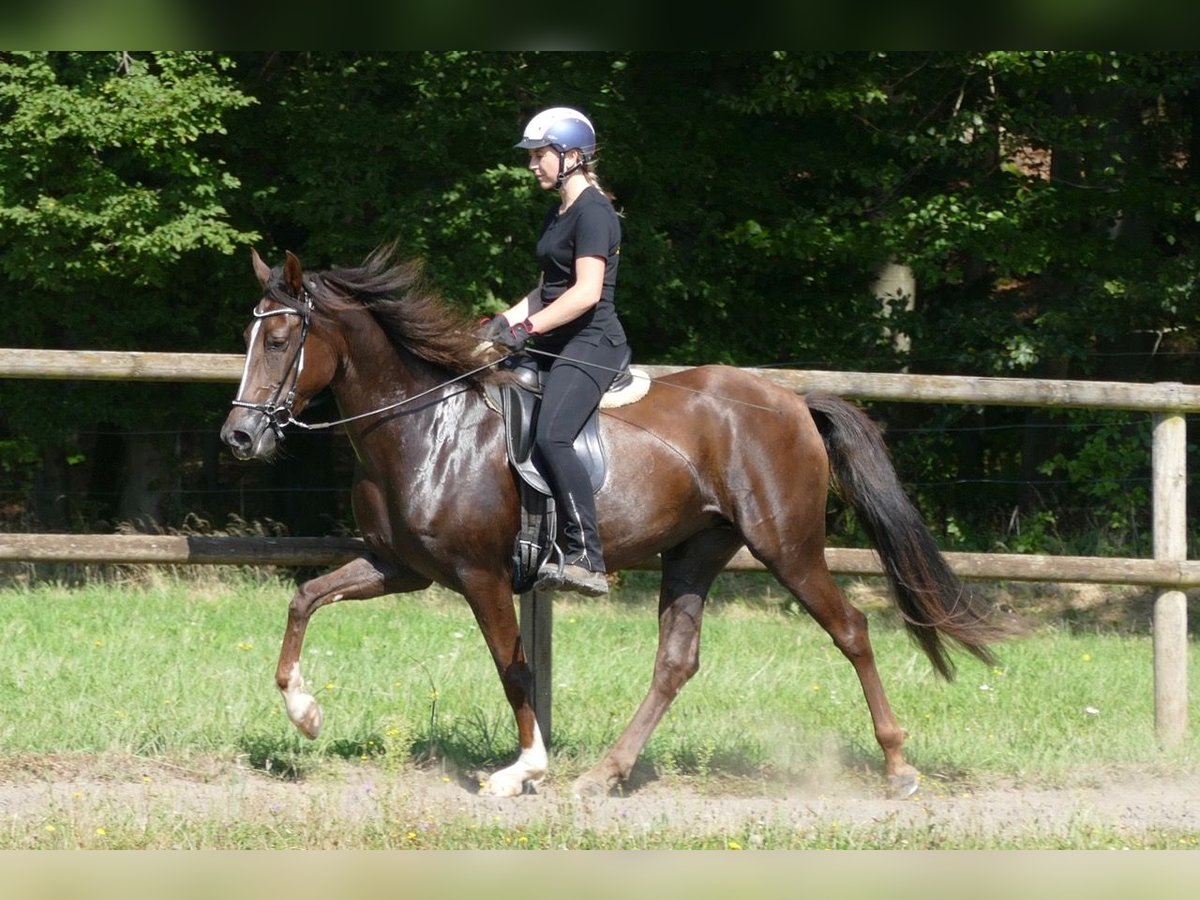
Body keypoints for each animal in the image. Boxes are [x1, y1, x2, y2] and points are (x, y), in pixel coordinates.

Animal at [220, 244, 1008, 796]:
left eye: (283, 341)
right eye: (249, 338)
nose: (239, 437)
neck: (425, 427)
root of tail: (791, 400)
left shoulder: (480, 575)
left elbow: (513, 666)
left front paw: (524, 770)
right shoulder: (401, 567)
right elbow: (305, 597)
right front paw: (305, 713)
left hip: (787, 546)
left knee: (852, 630)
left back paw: (898, 766)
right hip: (696, 550)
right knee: (676, 660)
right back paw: (607, 773)